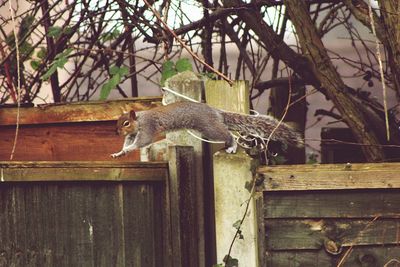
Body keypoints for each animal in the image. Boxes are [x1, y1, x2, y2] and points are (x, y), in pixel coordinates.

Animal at [110, 101, 304, 158]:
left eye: (126, 123)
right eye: (118, 121)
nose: (117, 132)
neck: (139, 120)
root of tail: (216, 112)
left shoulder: (148, 126)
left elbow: (143, 141)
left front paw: (128, 149)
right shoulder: (133, 134)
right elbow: (129, 142)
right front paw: (120, 152)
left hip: (210, 128)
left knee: (227, 135)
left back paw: (232, 146)